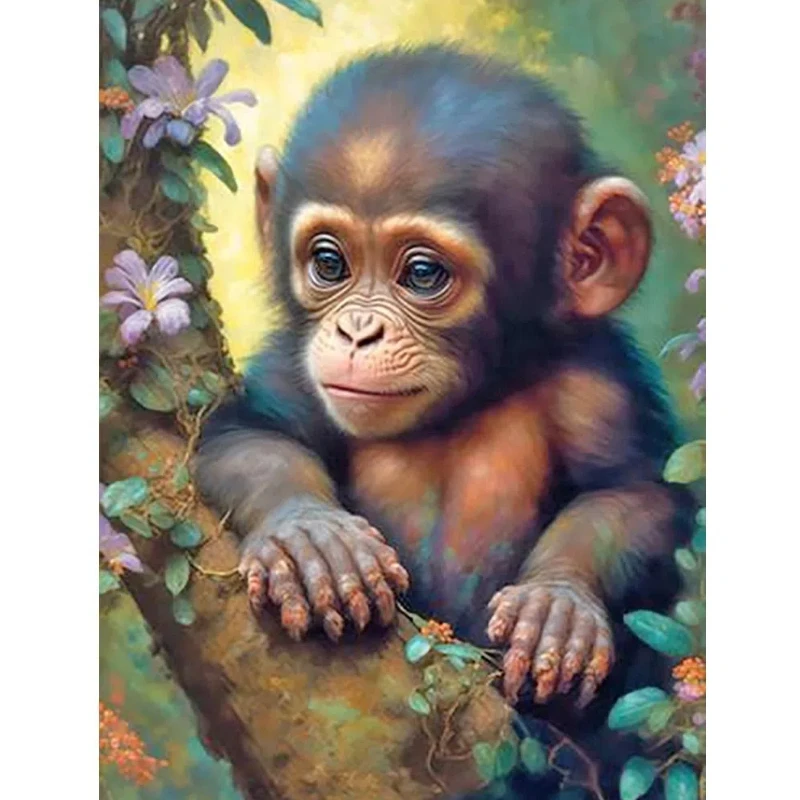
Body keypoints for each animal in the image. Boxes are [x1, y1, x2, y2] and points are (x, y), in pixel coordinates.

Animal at [195, 45, 692, 789]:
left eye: (422, 275)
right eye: (329, 262)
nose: (358, 332)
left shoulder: (597, 385)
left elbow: (634, 494)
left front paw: (558, 604)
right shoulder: (293, 366)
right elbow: (247, 435)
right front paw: (310, 537)